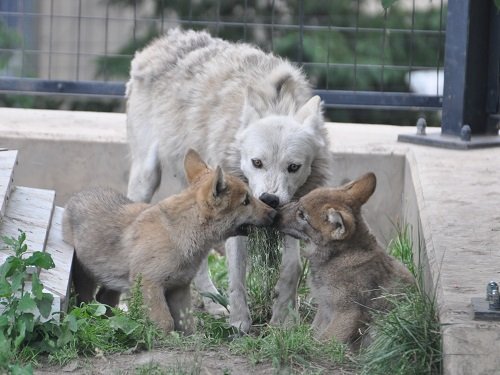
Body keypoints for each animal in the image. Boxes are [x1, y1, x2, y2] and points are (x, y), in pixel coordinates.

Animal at [126, 28, 332, 332]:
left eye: (293, 167)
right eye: (257, 162)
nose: (269, 199)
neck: (277, 101)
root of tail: (163, 40)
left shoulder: (290, 209)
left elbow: (292, 268)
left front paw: (282, 318)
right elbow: (237, 276)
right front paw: (239, 323)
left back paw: (213, 304)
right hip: (146, 176)